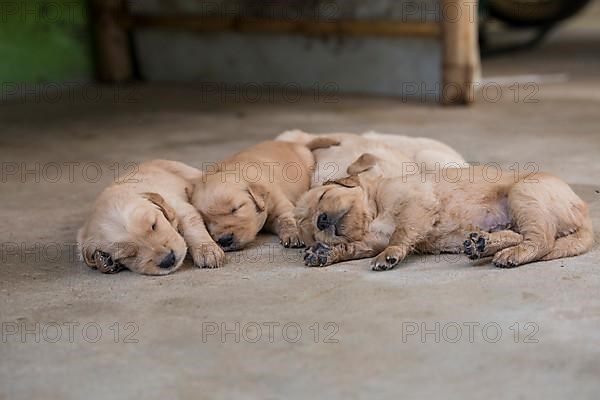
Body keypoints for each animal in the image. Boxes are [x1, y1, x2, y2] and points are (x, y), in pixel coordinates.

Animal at [77, 159, 223, 276]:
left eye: (154, 225)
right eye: (130, 255)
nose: (168, 260)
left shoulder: (179, 206)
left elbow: (192, 227)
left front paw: (207, 251)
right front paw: (104, 260)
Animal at [191, 141, 328, 250]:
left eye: (236, 209)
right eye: (206, 221)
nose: (224, 240)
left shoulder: (278, 200)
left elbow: (287, 218)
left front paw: (293, 234)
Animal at [298, 155, 592, 270]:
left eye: (323, 196)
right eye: (311, 231)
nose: (321, 220)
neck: (374, 212)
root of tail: (585, 213)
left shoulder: (417, 203)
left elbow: (400, 233)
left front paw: (390, 255)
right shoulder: (371, 240)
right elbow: (354, 247)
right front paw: (324, 253)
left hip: (523, 193)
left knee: (541, 240)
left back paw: (510, 254)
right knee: (519, 235)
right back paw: (482, 244)